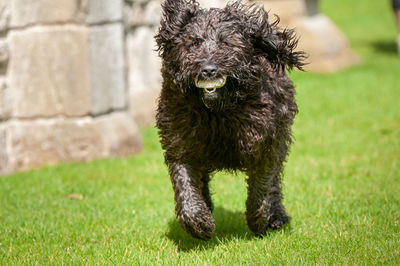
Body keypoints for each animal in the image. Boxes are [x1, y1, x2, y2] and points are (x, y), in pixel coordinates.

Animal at [155, 0, 304, 240]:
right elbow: (184, 183)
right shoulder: (181, 141)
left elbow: (261, 186)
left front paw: (259, 220)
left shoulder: (265, 144)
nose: (208, 70)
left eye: (224, 44)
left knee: (275, 183)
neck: (217, 113)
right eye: (194, 44)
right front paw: (198, 221)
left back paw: (276, 216)